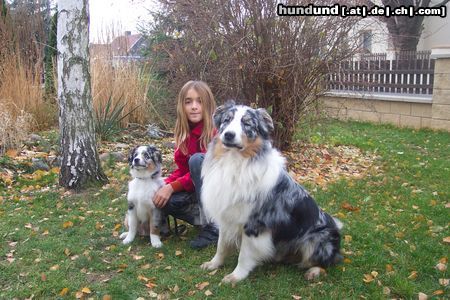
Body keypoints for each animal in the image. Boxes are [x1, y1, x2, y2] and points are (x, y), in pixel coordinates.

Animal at [200, 101, 342, 284]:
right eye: (227, 120)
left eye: (247, 124)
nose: (229, 135)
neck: (234, 161)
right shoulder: (227, 215)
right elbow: (221, 245)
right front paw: (214, 264)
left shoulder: (254, 224)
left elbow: (244, 255)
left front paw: (236, 276)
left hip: (317, 239)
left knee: (327, 262)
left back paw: (314, 271)